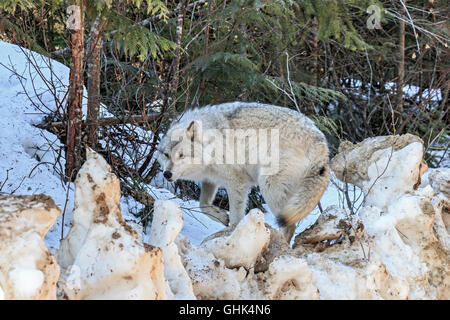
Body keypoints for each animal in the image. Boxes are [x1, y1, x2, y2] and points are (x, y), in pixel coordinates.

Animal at [158, 102, 330, 242]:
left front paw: (233, 234)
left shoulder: (237, 182)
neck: (213, 143)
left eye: (181, 155)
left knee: (289, 226)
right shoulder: (210, 180)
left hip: (268, 187)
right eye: (166, 154)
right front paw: (221, 216)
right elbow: (203, 205)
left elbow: (236, 216)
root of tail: (319, 139)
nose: (167, 174)